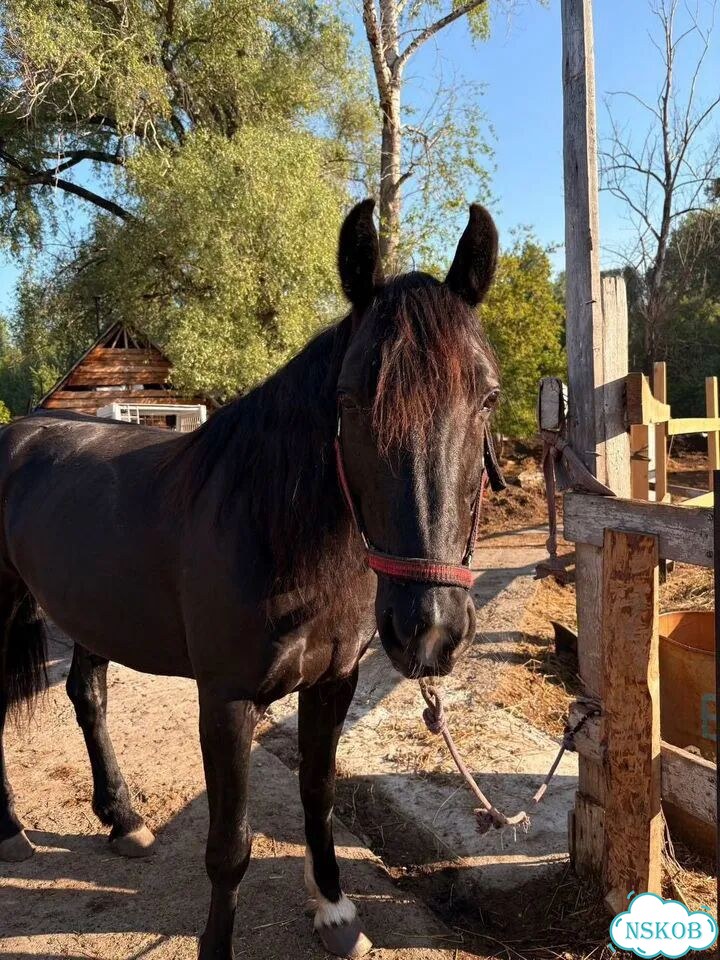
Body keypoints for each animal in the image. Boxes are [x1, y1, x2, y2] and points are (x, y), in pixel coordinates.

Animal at [0, 198, 502, 959]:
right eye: (349, 400)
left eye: (489, 398)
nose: (430, 630)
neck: (271, 532)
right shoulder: (226, 701)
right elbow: (229, 847)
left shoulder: (334, 683)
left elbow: (318, 795)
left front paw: (335, 911)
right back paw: (10, 831)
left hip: (90, 614)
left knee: (88, 696)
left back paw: (123, 818)